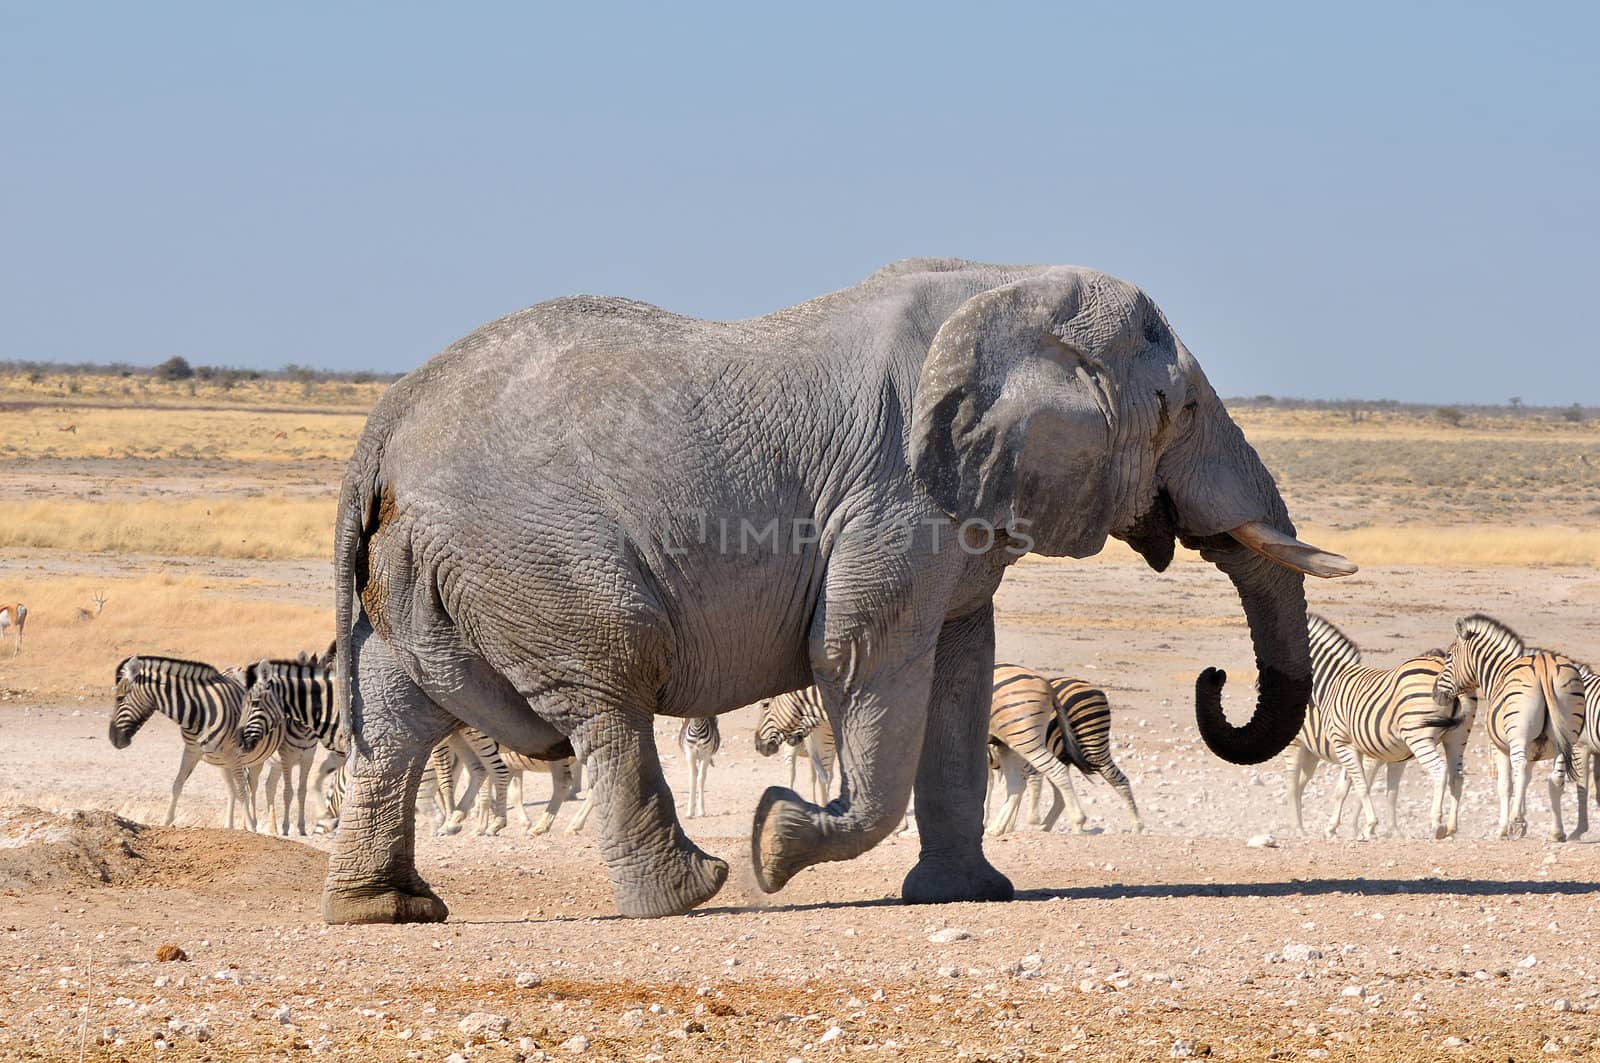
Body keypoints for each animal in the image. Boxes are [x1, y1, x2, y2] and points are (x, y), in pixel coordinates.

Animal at [109, 656, 267, 832]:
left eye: (120, 698)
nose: (113, 739)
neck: (199, 710)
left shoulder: (232, 753)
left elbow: (242, 790)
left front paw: (251, 829)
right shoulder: (192, 750)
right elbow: (177, 784)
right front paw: (166, 822)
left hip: (256, 758)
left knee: (252, 787)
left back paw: (253, 822)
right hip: (222, 761)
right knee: (232, 788)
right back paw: (230, 826)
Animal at [979, 669, 1145, 832]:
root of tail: (1089, 685)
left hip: (1092, 745)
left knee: (1118, 778)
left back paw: (1136, 827)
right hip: (1062, 752)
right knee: (1059, 793)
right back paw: (1045, 827)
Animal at [1286, 614, 1472, 838]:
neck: (1330, 681)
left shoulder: (1348, 745)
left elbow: (1360, 785)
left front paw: (1366, 827)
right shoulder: (1385, 754)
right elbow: (1371, 790)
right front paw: (1370, 829)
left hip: (1419, 739)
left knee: (1440, 770)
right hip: (1456, 739)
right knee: (1457, 777)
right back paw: (1451, 827)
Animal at [1433, 614, 1580, 838]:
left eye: (1449, 655)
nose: (1435, 694)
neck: (1498, 674)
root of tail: (1543, 665)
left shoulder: (1500, 747)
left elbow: (1506, 785)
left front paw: (1506, 826)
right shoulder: (1533, 752)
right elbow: (1524, 781)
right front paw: (1523, 821)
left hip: (1519, 734)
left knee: (1520, 768)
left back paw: (1515, 821)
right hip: (1567, 737)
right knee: (1555, 779)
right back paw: (1557, 832)